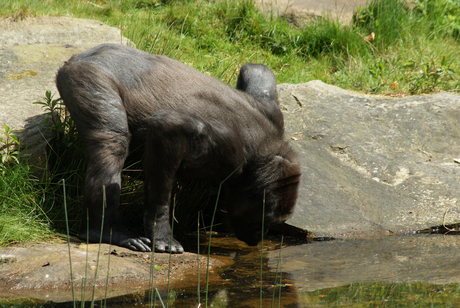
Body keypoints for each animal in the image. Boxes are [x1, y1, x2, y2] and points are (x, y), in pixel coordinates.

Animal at [56, 44, 302, 254]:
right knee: (112, 143)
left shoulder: (271, 111)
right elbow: (167, 128)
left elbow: (256, 70)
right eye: (264, 221)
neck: (262, 159)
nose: (260, 236)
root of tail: (80, 57)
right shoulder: (228, 151)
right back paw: (105, 230)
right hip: (88, 77)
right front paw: (161, 231)